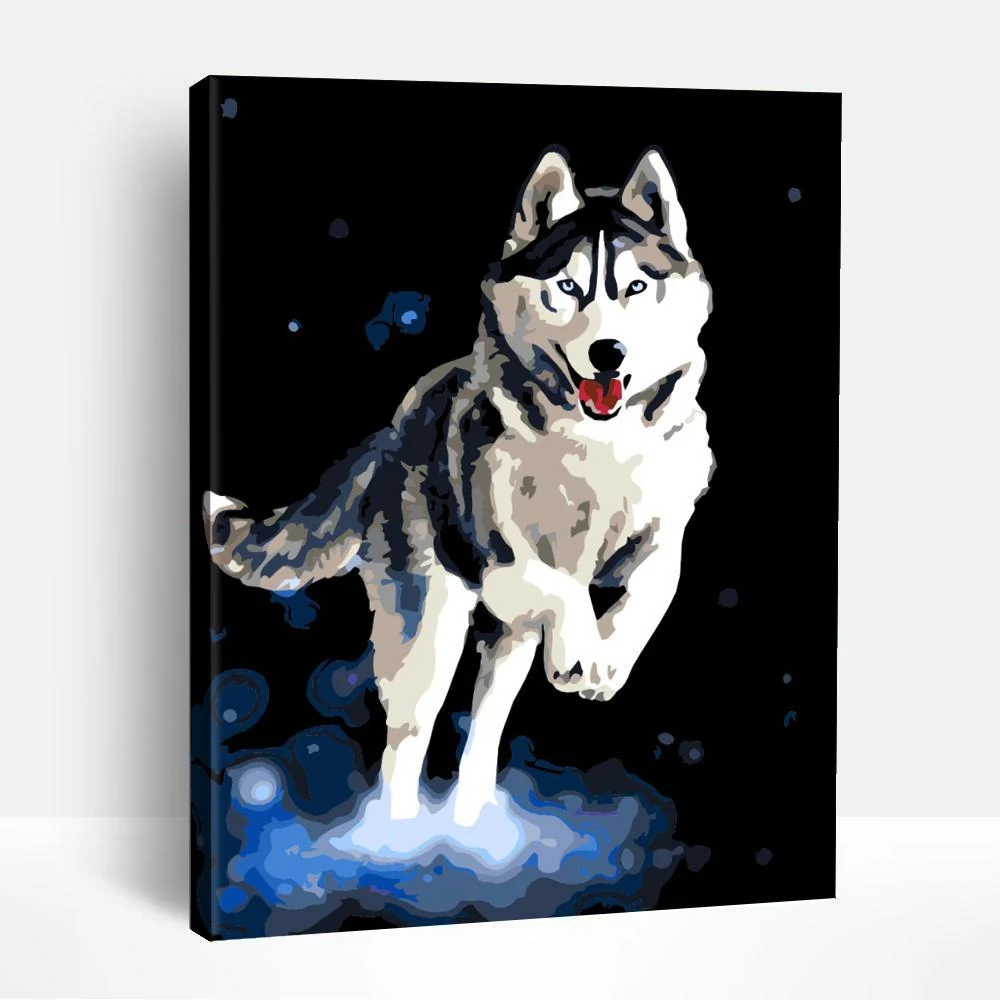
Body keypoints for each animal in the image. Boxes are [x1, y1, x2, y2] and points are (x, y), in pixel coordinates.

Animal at [205, 146, 715, 827]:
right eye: (568, 288)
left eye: (636, 287)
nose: (609, 353)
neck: (592, 444)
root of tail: (396, 427)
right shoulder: (504, 563)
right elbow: (564, 588)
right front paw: (585, 651)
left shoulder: (663, 532)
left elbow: (654, 592)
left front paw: (607, 659)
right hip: (431, 630)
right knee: (405, 745)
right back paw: (395, 840)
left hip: (506, 644)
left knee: (484, 732)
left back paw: (473, 825)